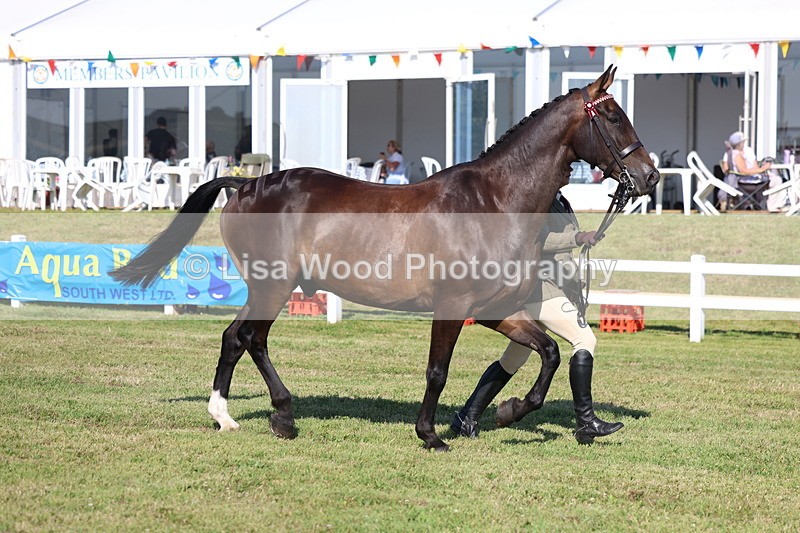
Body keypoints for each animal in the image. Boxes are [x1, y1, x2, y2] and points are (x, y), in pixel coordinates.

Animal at [111, 66, 658, 451]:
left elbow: (546, 354)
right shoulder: (453, 306)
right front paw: (430, 434)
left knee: (233, 337)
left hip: (265, 286)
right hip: (274, 286)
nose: (649, 177)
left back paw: (224, 415)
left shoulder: (492, 309)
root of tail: (246, 185)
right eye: (613, 116)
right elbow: (437, 370)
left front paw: (506, 411)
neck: (495, 201)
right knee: (253, 339)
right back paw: (283, 415)